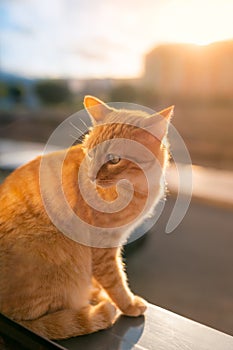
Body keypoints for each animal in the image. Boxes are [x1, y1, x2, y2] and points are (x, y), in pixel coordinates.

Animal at [0, 95, 173, 340]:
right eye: (90, 153)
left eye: (114, 159)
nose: (91, 176)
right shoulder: (104, 247)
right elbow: (116, 280)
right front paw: (128, 305)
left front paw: (99, 291)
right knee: (38, 318)